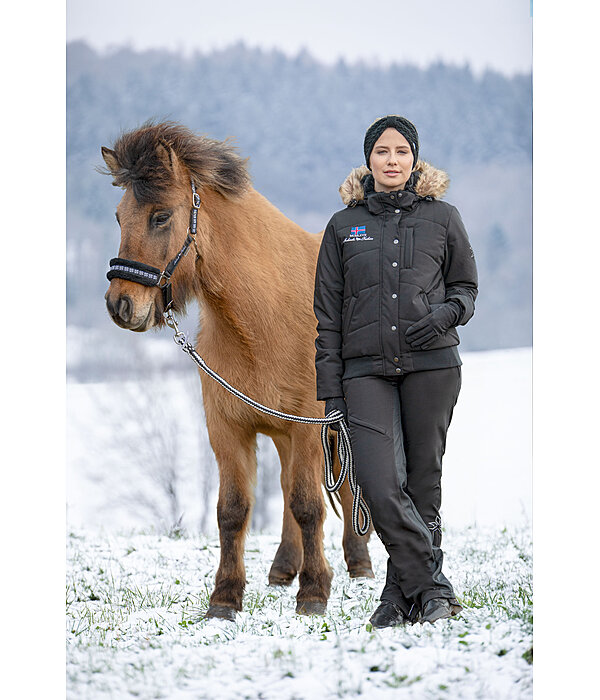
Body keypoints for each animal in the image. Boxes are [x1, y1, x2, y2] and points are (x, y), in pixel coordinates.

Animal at [102, 120, 372, 616]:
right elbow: (233, 510)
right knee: (286, 486)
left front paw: (314, 592)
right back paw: (284, 568)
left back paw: (357, 564)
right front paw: (225, 598)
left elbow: (309, 503)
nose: (121, 305)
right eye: (119, 216)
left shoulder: (309, 427)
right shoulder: (228, 427)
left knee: (342, 488)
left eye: (160, 217)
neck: (264, 316)